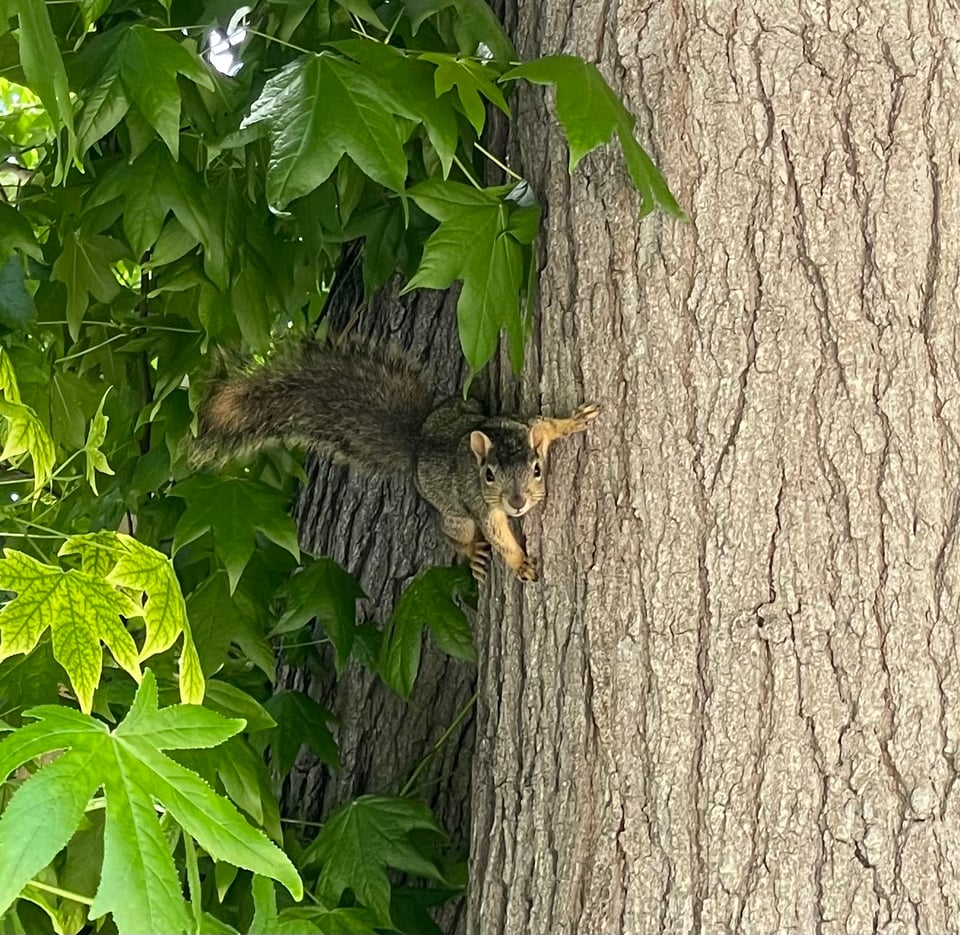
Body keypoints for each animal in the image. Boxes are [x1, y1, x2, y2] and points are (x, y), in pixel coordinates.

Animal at [192, 337, 599, 582]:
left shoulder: (527, 425)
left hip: (465, 406)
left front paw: (574, 420)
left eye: (536, 469)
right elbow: (500, 537)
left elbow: (547, 424)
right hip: (456, 515)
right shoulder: (483, 508)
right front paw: (519, 563)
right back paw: (471, 552)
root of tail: (418, 445)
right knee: (455, 534)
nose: (516, 503)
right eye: (488, 475)